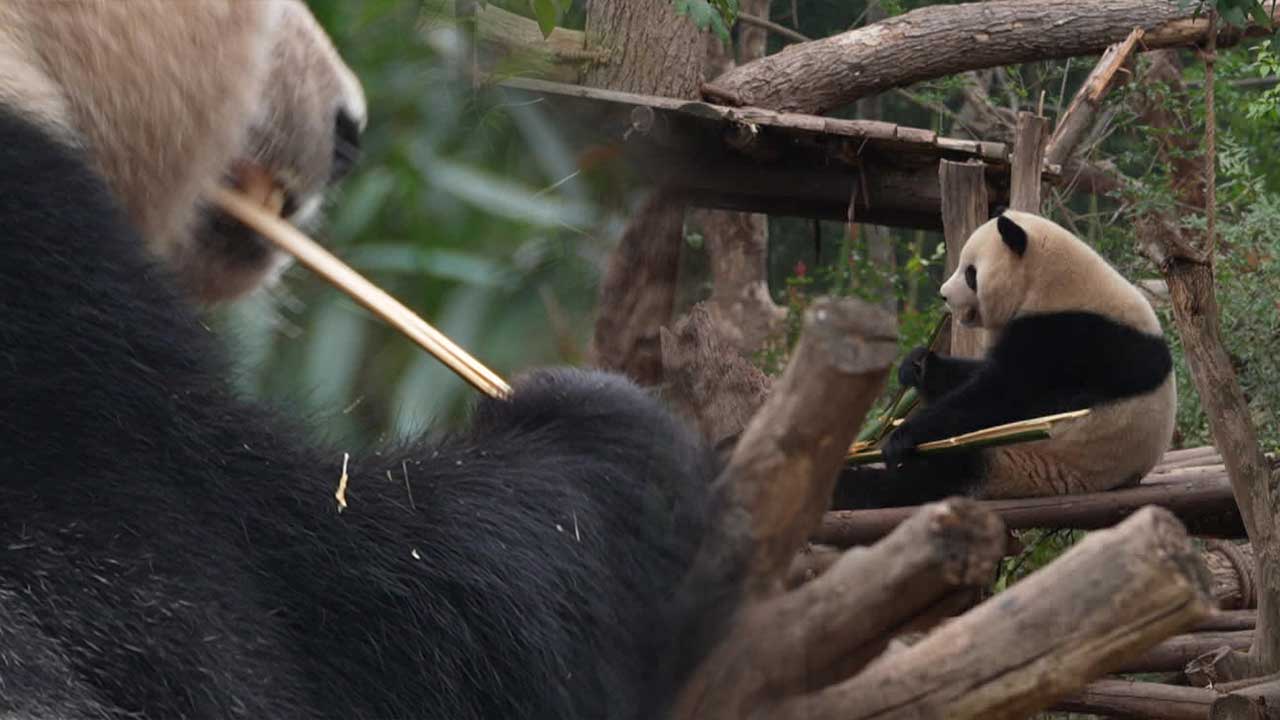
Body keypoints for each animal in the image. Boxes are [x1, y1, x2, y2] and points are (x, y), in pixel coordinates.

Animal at [829, 210, 1177, 507]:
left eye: (970, 273)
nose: (943, 294)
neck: (1054, 283)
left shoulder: (1067, 334)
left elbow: (1000, 394)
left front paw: (903, 435)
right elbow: (975, 376)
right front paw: (918, 365)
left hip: (1021, 460)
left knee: (939, 474)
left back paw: (853, 486)